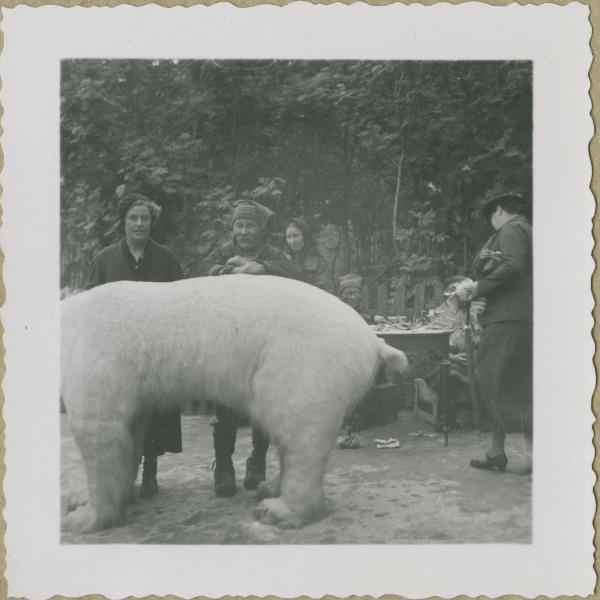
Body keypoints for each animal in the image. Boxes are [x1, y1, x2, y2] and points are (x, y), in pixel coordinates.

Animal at [62, 274, 408, 532]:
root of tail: (372, 338)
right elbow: (129, 433)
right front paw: (88, 499)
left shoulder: (94, 355)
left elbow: (99, 432)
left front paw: (85, 516)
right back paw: (272, 487)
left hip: (302, 358)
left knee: (298, 430)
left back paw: (279, 509)